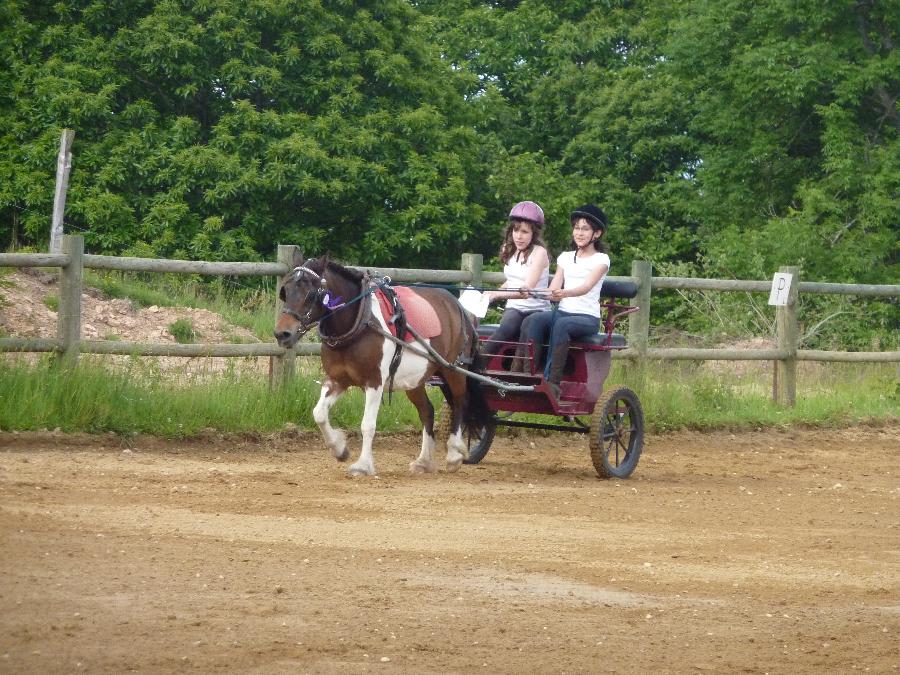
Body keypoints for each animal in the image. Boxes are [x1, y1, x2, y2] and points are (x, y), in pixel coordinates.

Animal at [272, 251, 486, 478]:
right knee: (427, 411)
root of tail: (458, 306)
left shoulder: (374, 382)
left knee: (460, 402)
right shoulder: (337, 380)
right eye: (285, 291)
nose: (282, 334)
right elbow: (319, 413)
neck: (358, 322)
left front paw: (363, 465)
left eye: (311, 294)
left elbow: (367, 425)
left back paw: (454, 454)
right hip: (415, 379)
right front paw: (339, 449)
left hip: (452, 369)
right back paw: (424, 461)